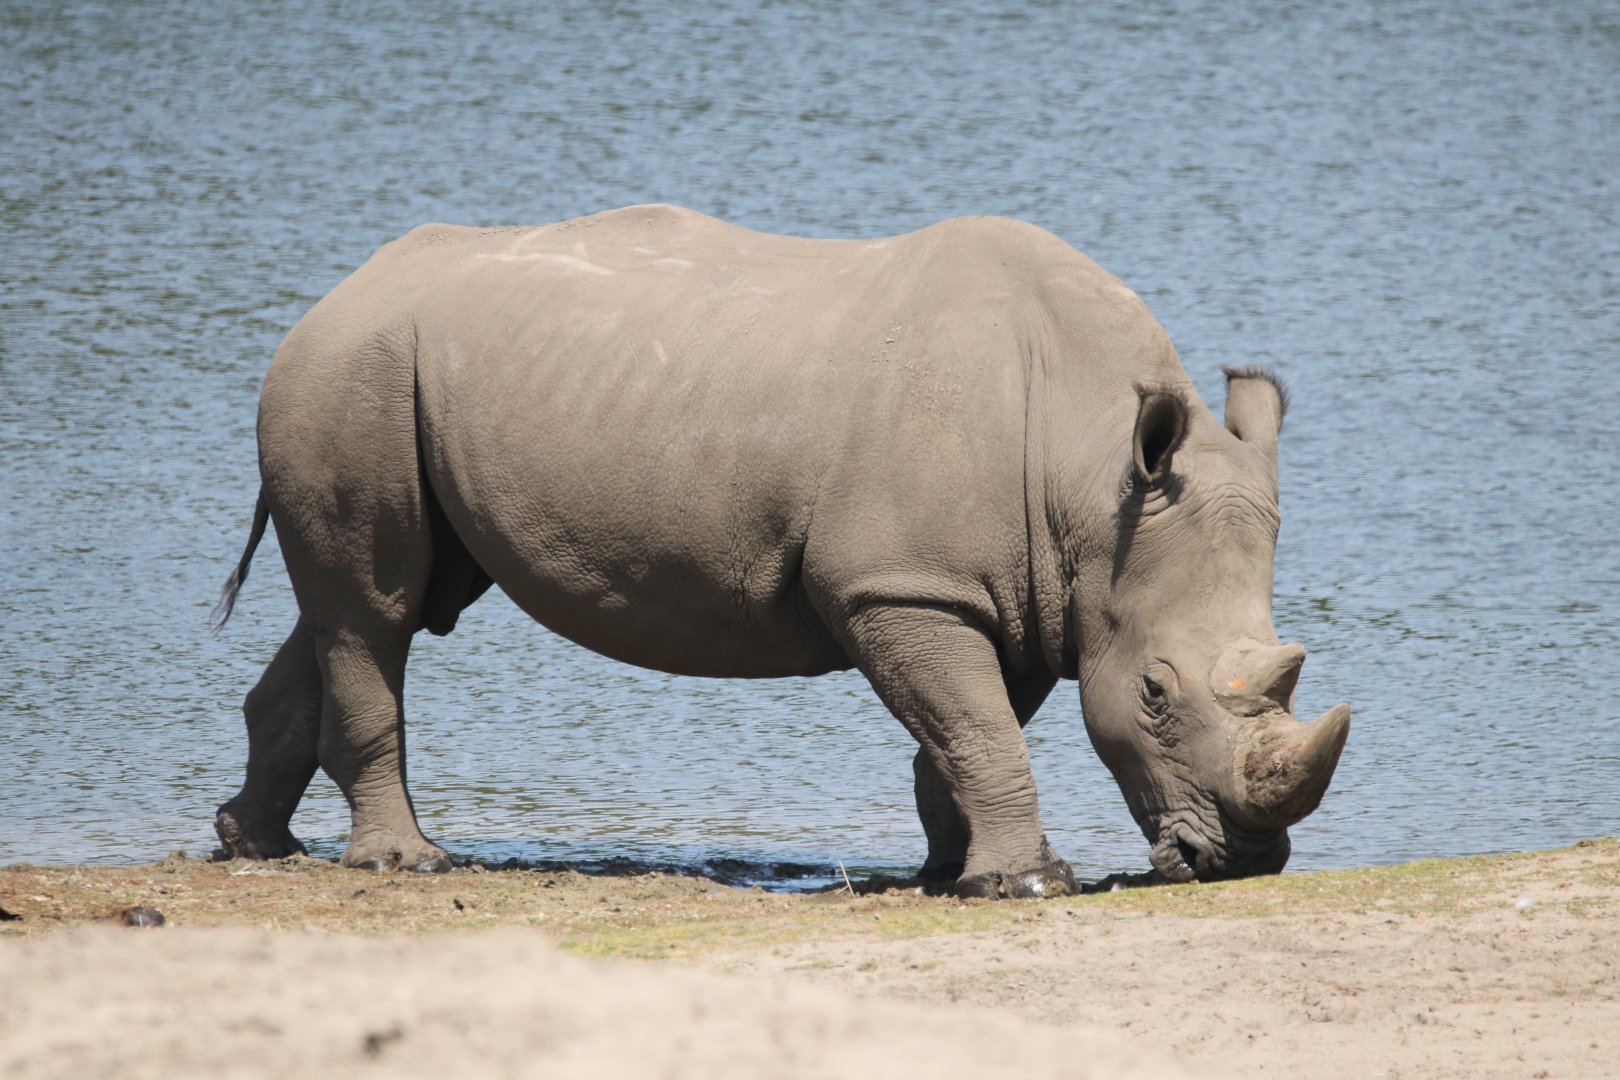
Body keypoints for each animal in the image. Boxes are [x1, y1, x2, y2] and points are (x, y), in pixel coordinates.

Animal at [213, 203, 1350, 897]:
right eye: (1155, 694)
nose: (1243, 861)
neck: (1088, 476)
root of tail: (333, 294)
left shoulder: (1020, 593)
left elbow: (968, 731)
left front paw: (947, 872)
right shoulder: (905, 587)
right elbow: (982, 729)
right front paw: (1022, 884)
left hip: (395, 377)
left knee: (374, 606)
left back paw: (254, 844)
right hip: (352, 372)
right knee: (377, 608)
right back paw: (410, 865)